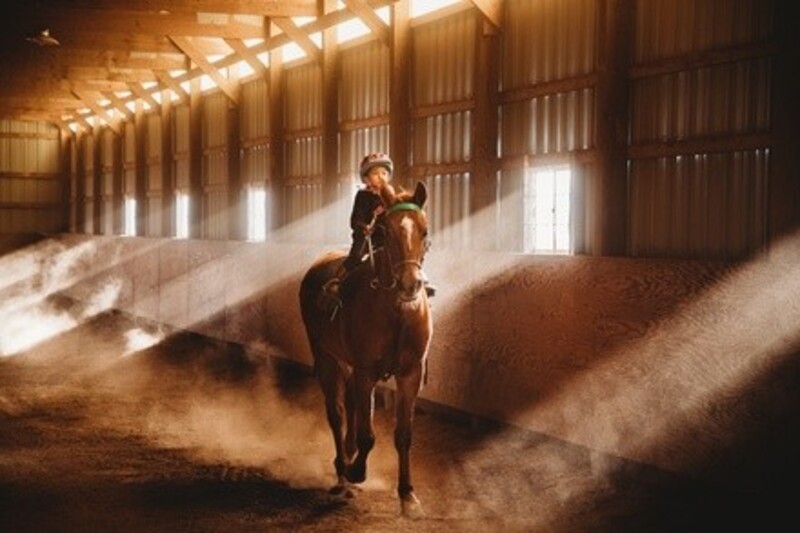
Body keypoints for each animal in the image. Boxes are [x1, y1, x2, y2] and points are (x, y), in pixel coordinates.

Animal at [298, 181, 432, 517]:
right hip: (327, 359)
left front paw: (407, 495)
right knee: (337, 414)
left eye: (424, 230)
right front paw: (357, 470)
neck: (397, 314)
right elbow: (367, 433)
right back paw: (342, 473)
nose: (410, 284)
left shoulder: (410, 375)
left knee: (348, 409)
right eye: (384, 231)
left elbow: (403, 434)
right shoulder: (366, 372)